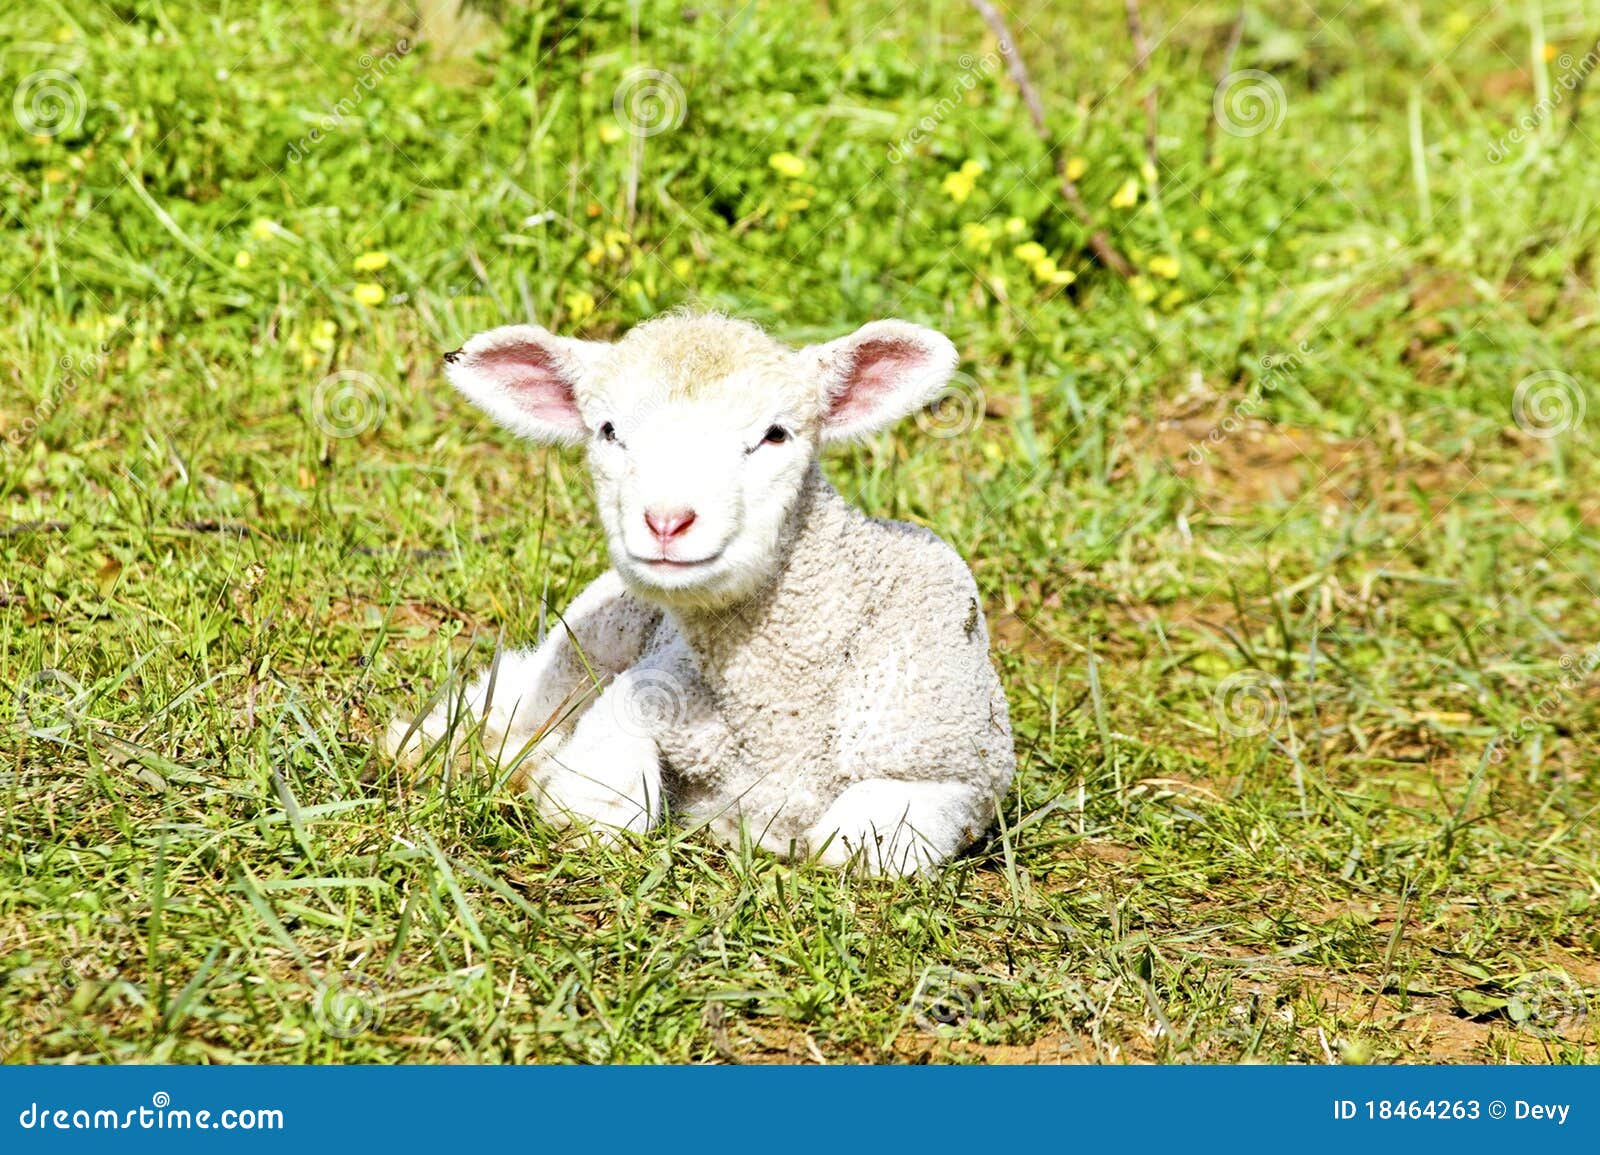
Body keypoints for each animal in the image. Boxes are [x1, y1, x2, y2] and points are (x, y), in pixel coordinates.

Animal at [385, 312, 1015, 875]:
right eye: (608, 430)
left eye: (775, 434)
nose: (666, 520)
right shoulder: (647, 694)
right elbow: (601, 809)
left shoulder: (954, 771)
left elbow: (855, 846)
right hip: (582, 649)